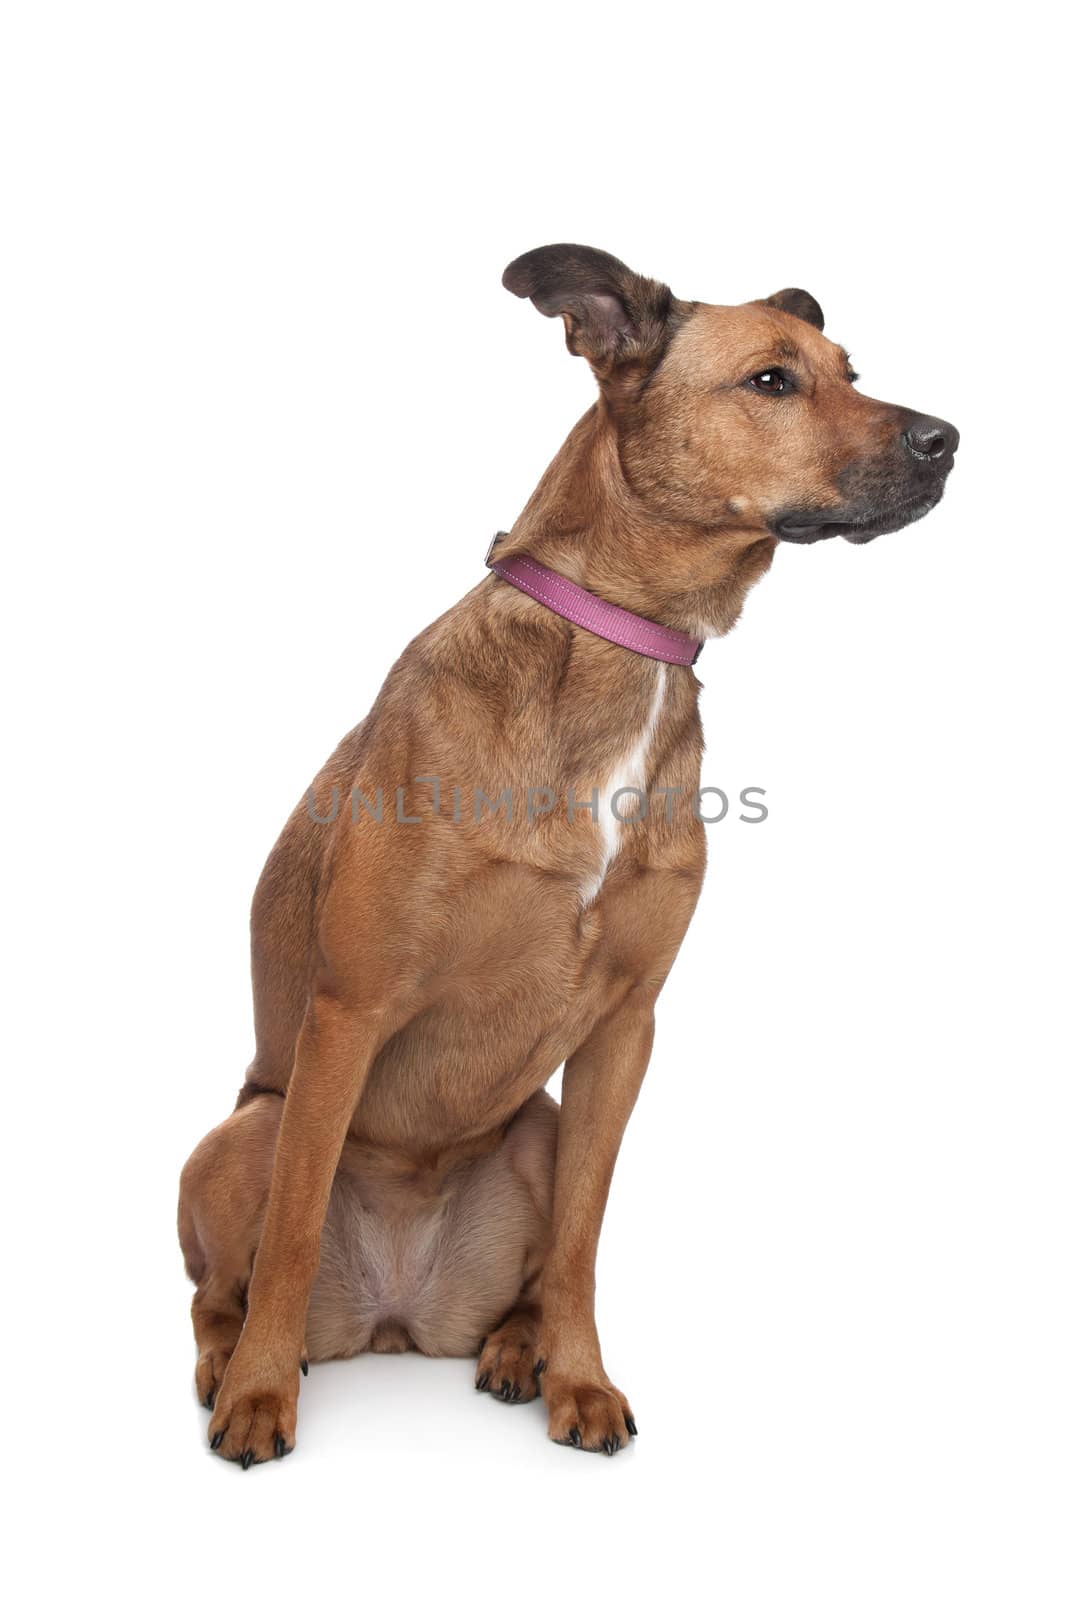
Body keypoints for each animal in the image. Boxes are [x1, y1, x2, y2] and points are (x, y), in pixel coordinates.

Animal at [177, 240, 959, 1465]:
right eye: (772, 381)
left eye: (850, 370)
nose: (948, 439)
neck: (623, 643)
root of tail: (394, 1321)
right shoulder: (347, 1016)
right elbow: (293, 1232)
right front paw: (259, 1396)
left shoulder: (623, 1034)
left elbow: (585, 1242)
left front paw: (578, 1380)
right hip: (247, 1130)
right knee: (225, 1283)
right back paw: (237, 1361)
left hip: (532, 1128)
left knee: (530, 1275)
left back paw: (512, 1348)